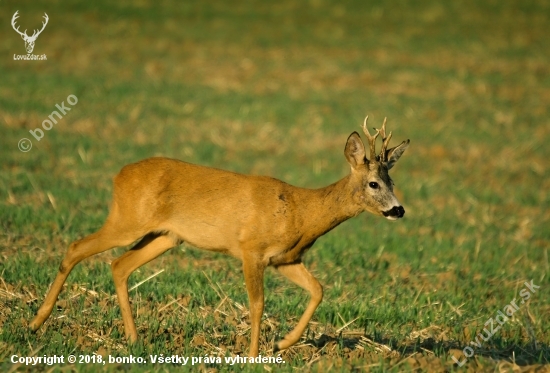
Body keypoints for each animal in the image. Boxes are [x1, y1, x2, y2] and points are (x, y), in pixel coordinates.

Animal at [30, 115, 410, 354]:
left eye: (392, 180)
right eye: (373, 183)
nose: (398, 210)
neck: (301, 212)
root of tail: (119, 175)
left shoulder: (285, 259)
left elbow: (318, 290)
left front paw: (283, 344)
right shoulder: (250, 250)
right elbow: (257, 304)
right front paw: (254, 355)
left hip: (165, 236)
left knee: (119, 265)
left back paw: (134, 339)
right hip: (127, 219)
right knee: (76, 247)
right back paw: (36, 322)